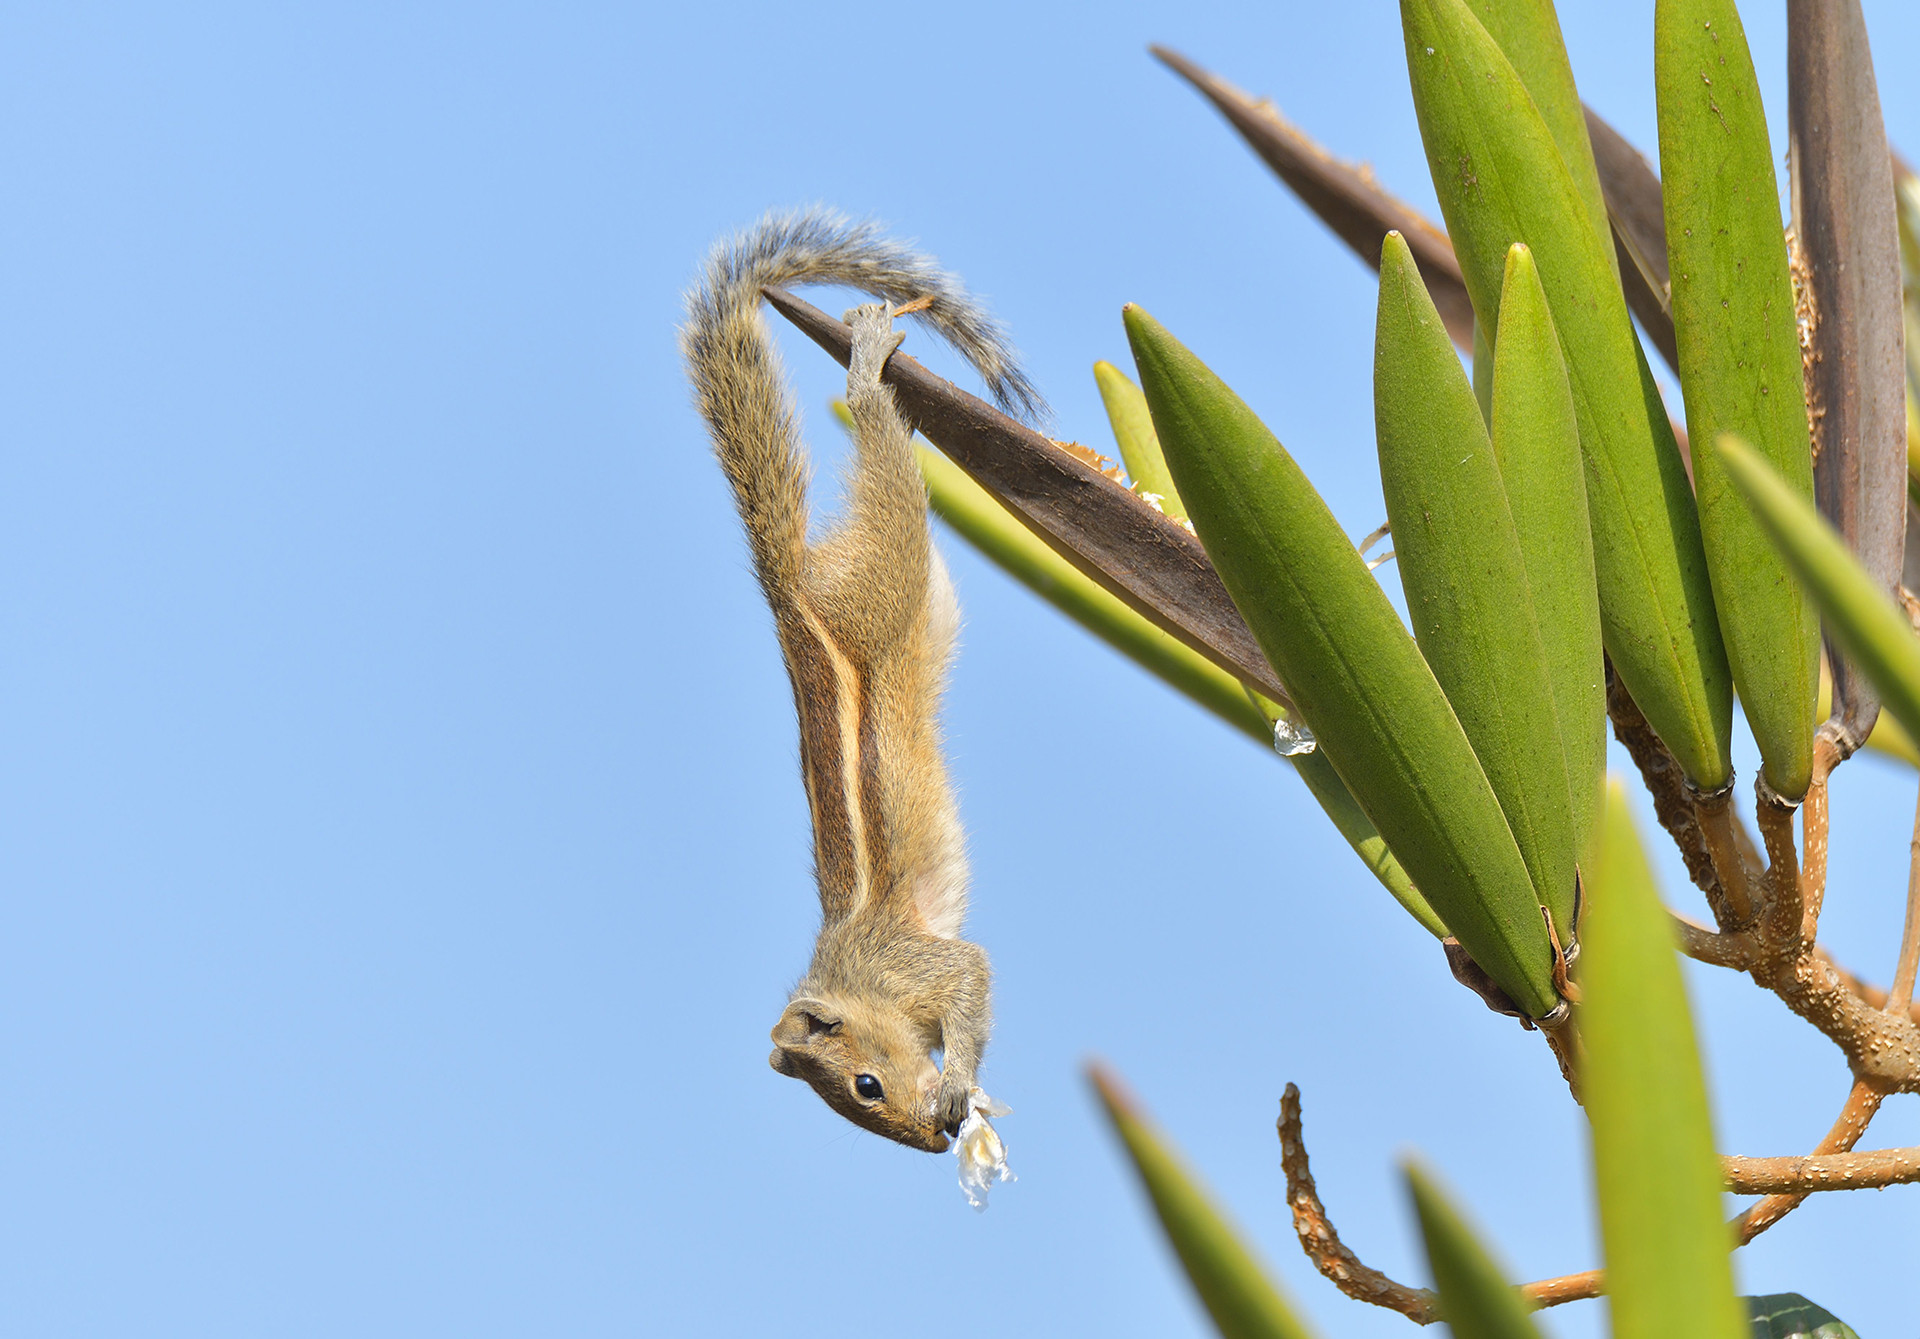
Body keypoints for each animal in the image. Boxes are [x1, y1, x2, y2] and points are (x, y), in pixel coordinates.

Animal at [681, 210, 1042, 1152]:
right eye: (854, 1105)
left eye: (868, 1085)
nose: (934, 1141)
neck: (855, 975)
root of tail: (786, 587)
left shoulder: (927, 961)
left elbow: (973, 978)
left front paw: (961, 1081)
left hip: (892, 550)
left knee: (881, 433)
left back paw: (870, 362)